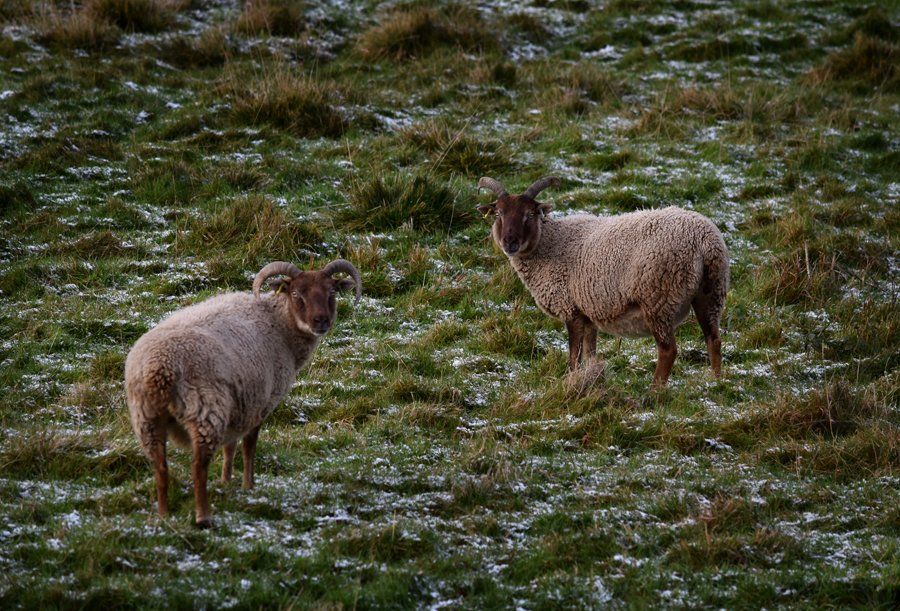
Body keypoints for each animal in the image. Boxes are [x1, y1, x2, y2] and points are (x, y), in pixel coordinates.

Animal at [125, 259, 361, 527]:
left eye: (331, 292)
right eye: (295, 293)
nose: (320, 321)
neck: (280, 324)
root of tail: (159, 370)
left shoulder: (239, 405)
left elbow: (231, 446)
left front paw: (226, 481)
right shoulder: (260, 402)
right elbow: (249, 446)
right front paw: (249, 486)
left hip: (147, 419)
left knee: (160, 467)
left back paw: (163, 516)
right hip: (205, 411)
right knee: (198, 466)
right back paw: (203, 516)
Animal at [476, 176, 729, 388]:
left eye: (530, 214)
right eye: (498, 213)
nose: (510, 242)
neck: (548, 244)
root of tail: (704, 241)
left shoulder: (571, 310)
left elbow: (574, 356)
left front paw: (571, 382)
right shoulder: (588, 313)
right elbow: (590, 354)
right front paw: (593, 378)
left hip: (659, 297)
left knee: (668, 350)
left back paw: (655, 389)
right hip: (710, 292)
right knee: (714, 339)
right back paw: (715, 382)